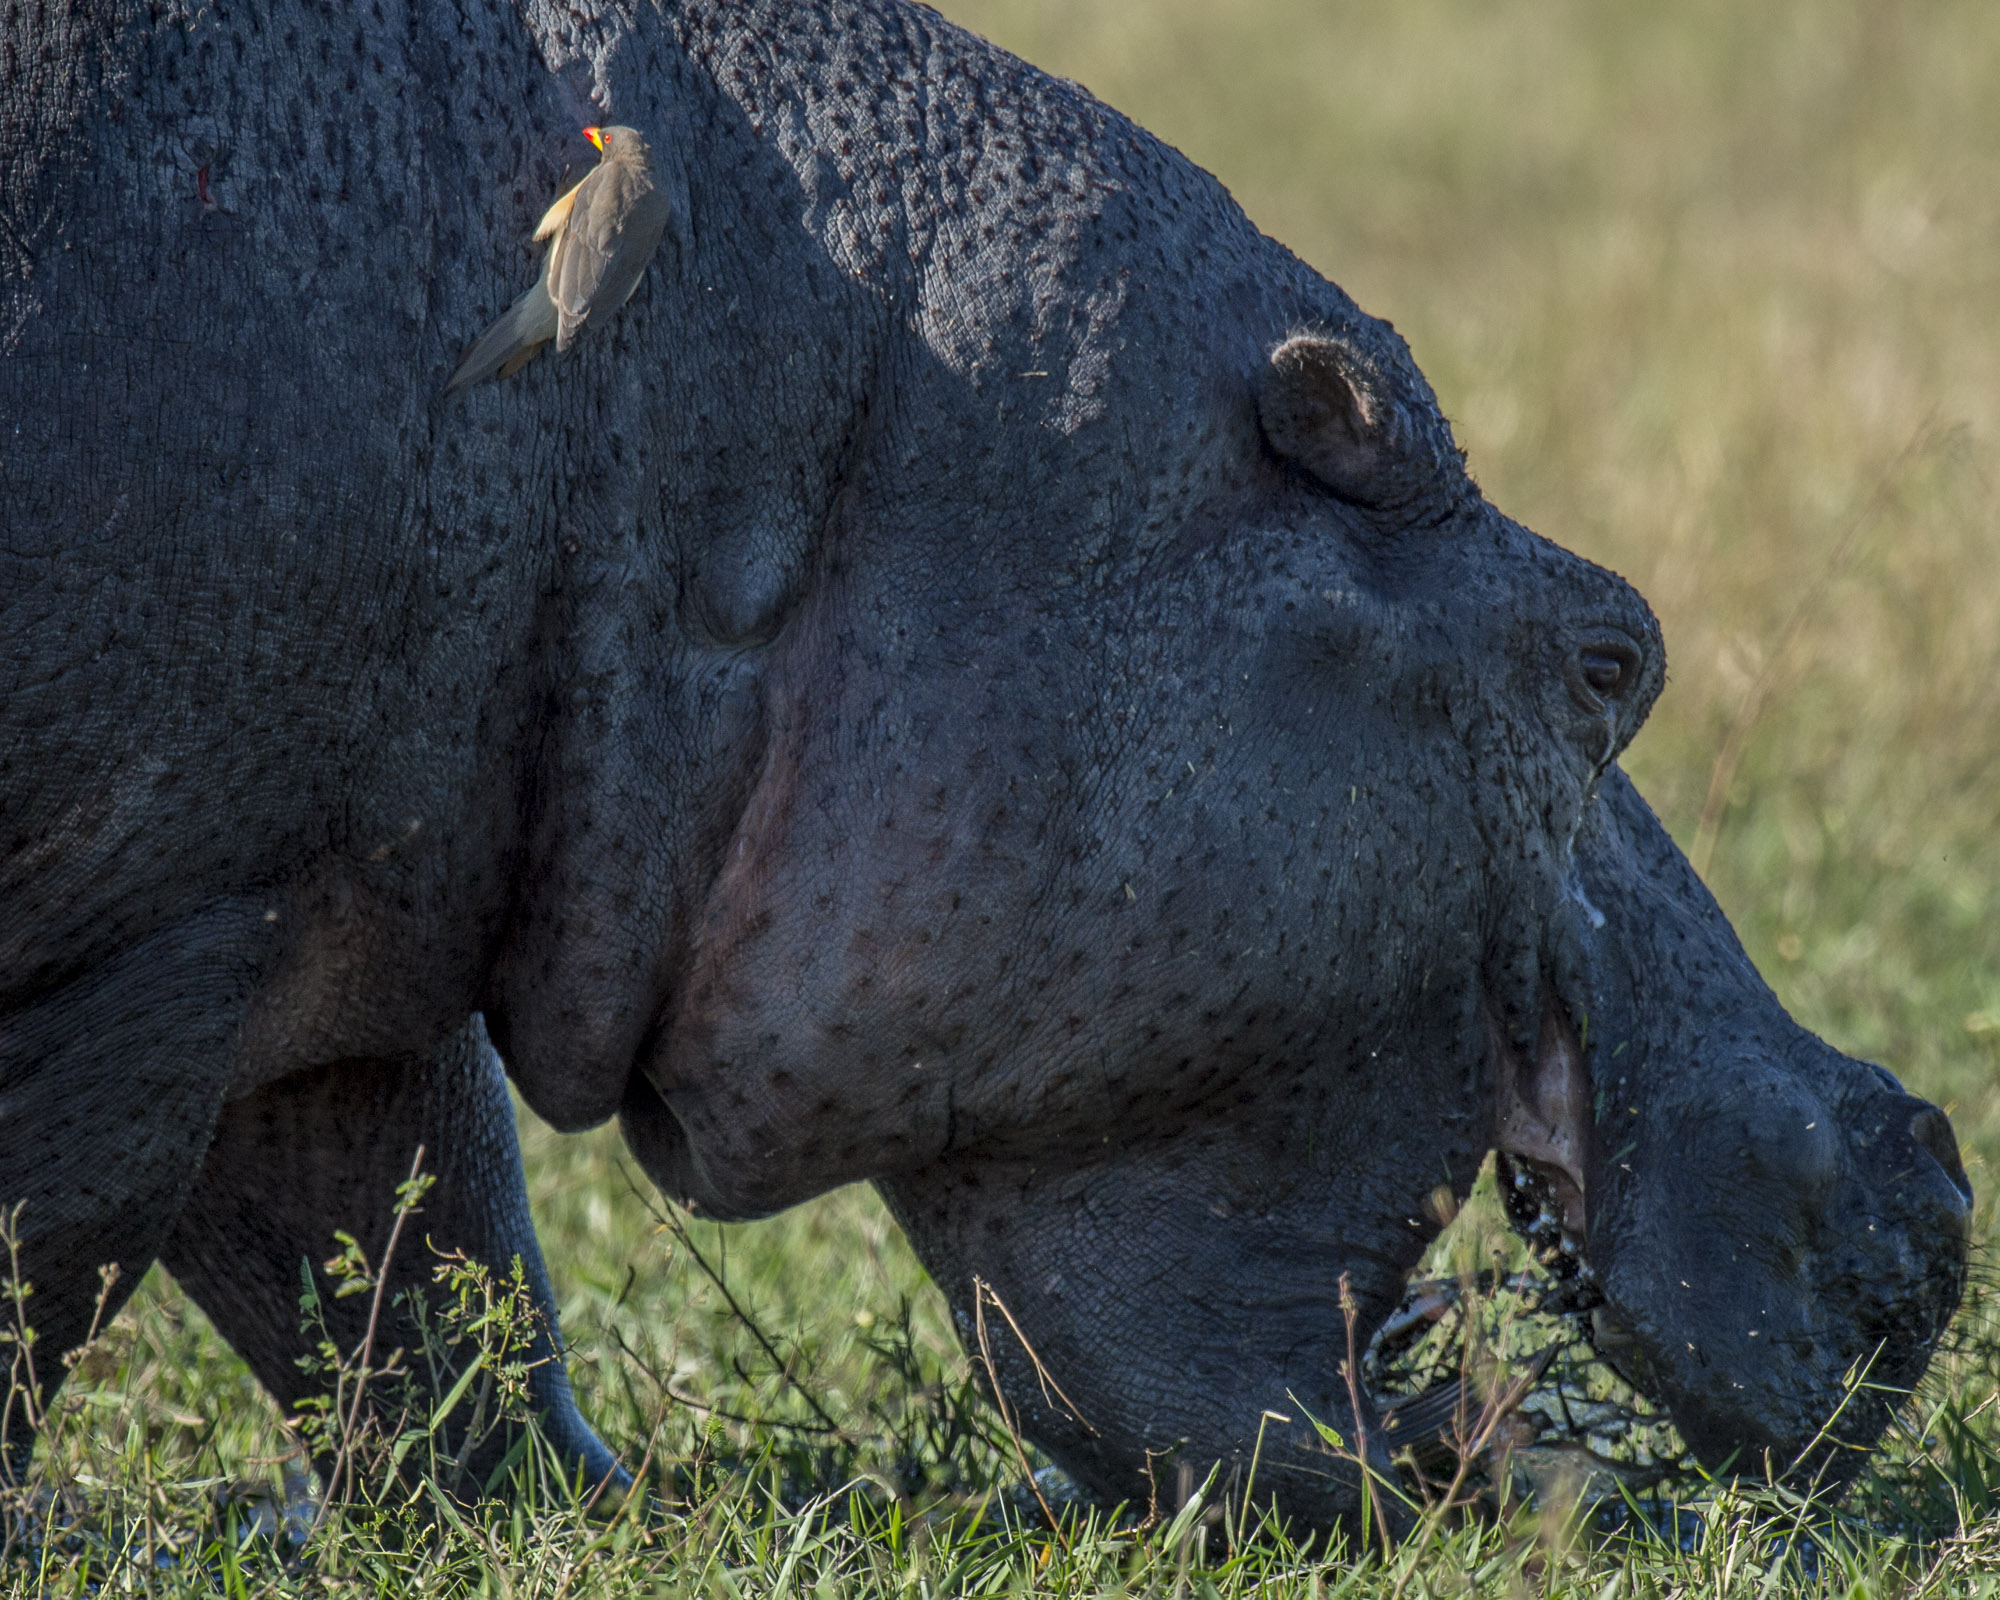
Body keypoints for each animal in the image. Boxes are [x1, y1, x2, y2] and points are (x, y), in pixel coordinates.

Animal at [0, 0, 1969, 1531]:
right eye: (1615, 655)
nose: (1937, 1183)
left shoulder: (311, 895)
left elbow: (412, 1263)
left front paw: (600, 1515)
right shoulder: (158, 943)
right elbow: (84, 1237)